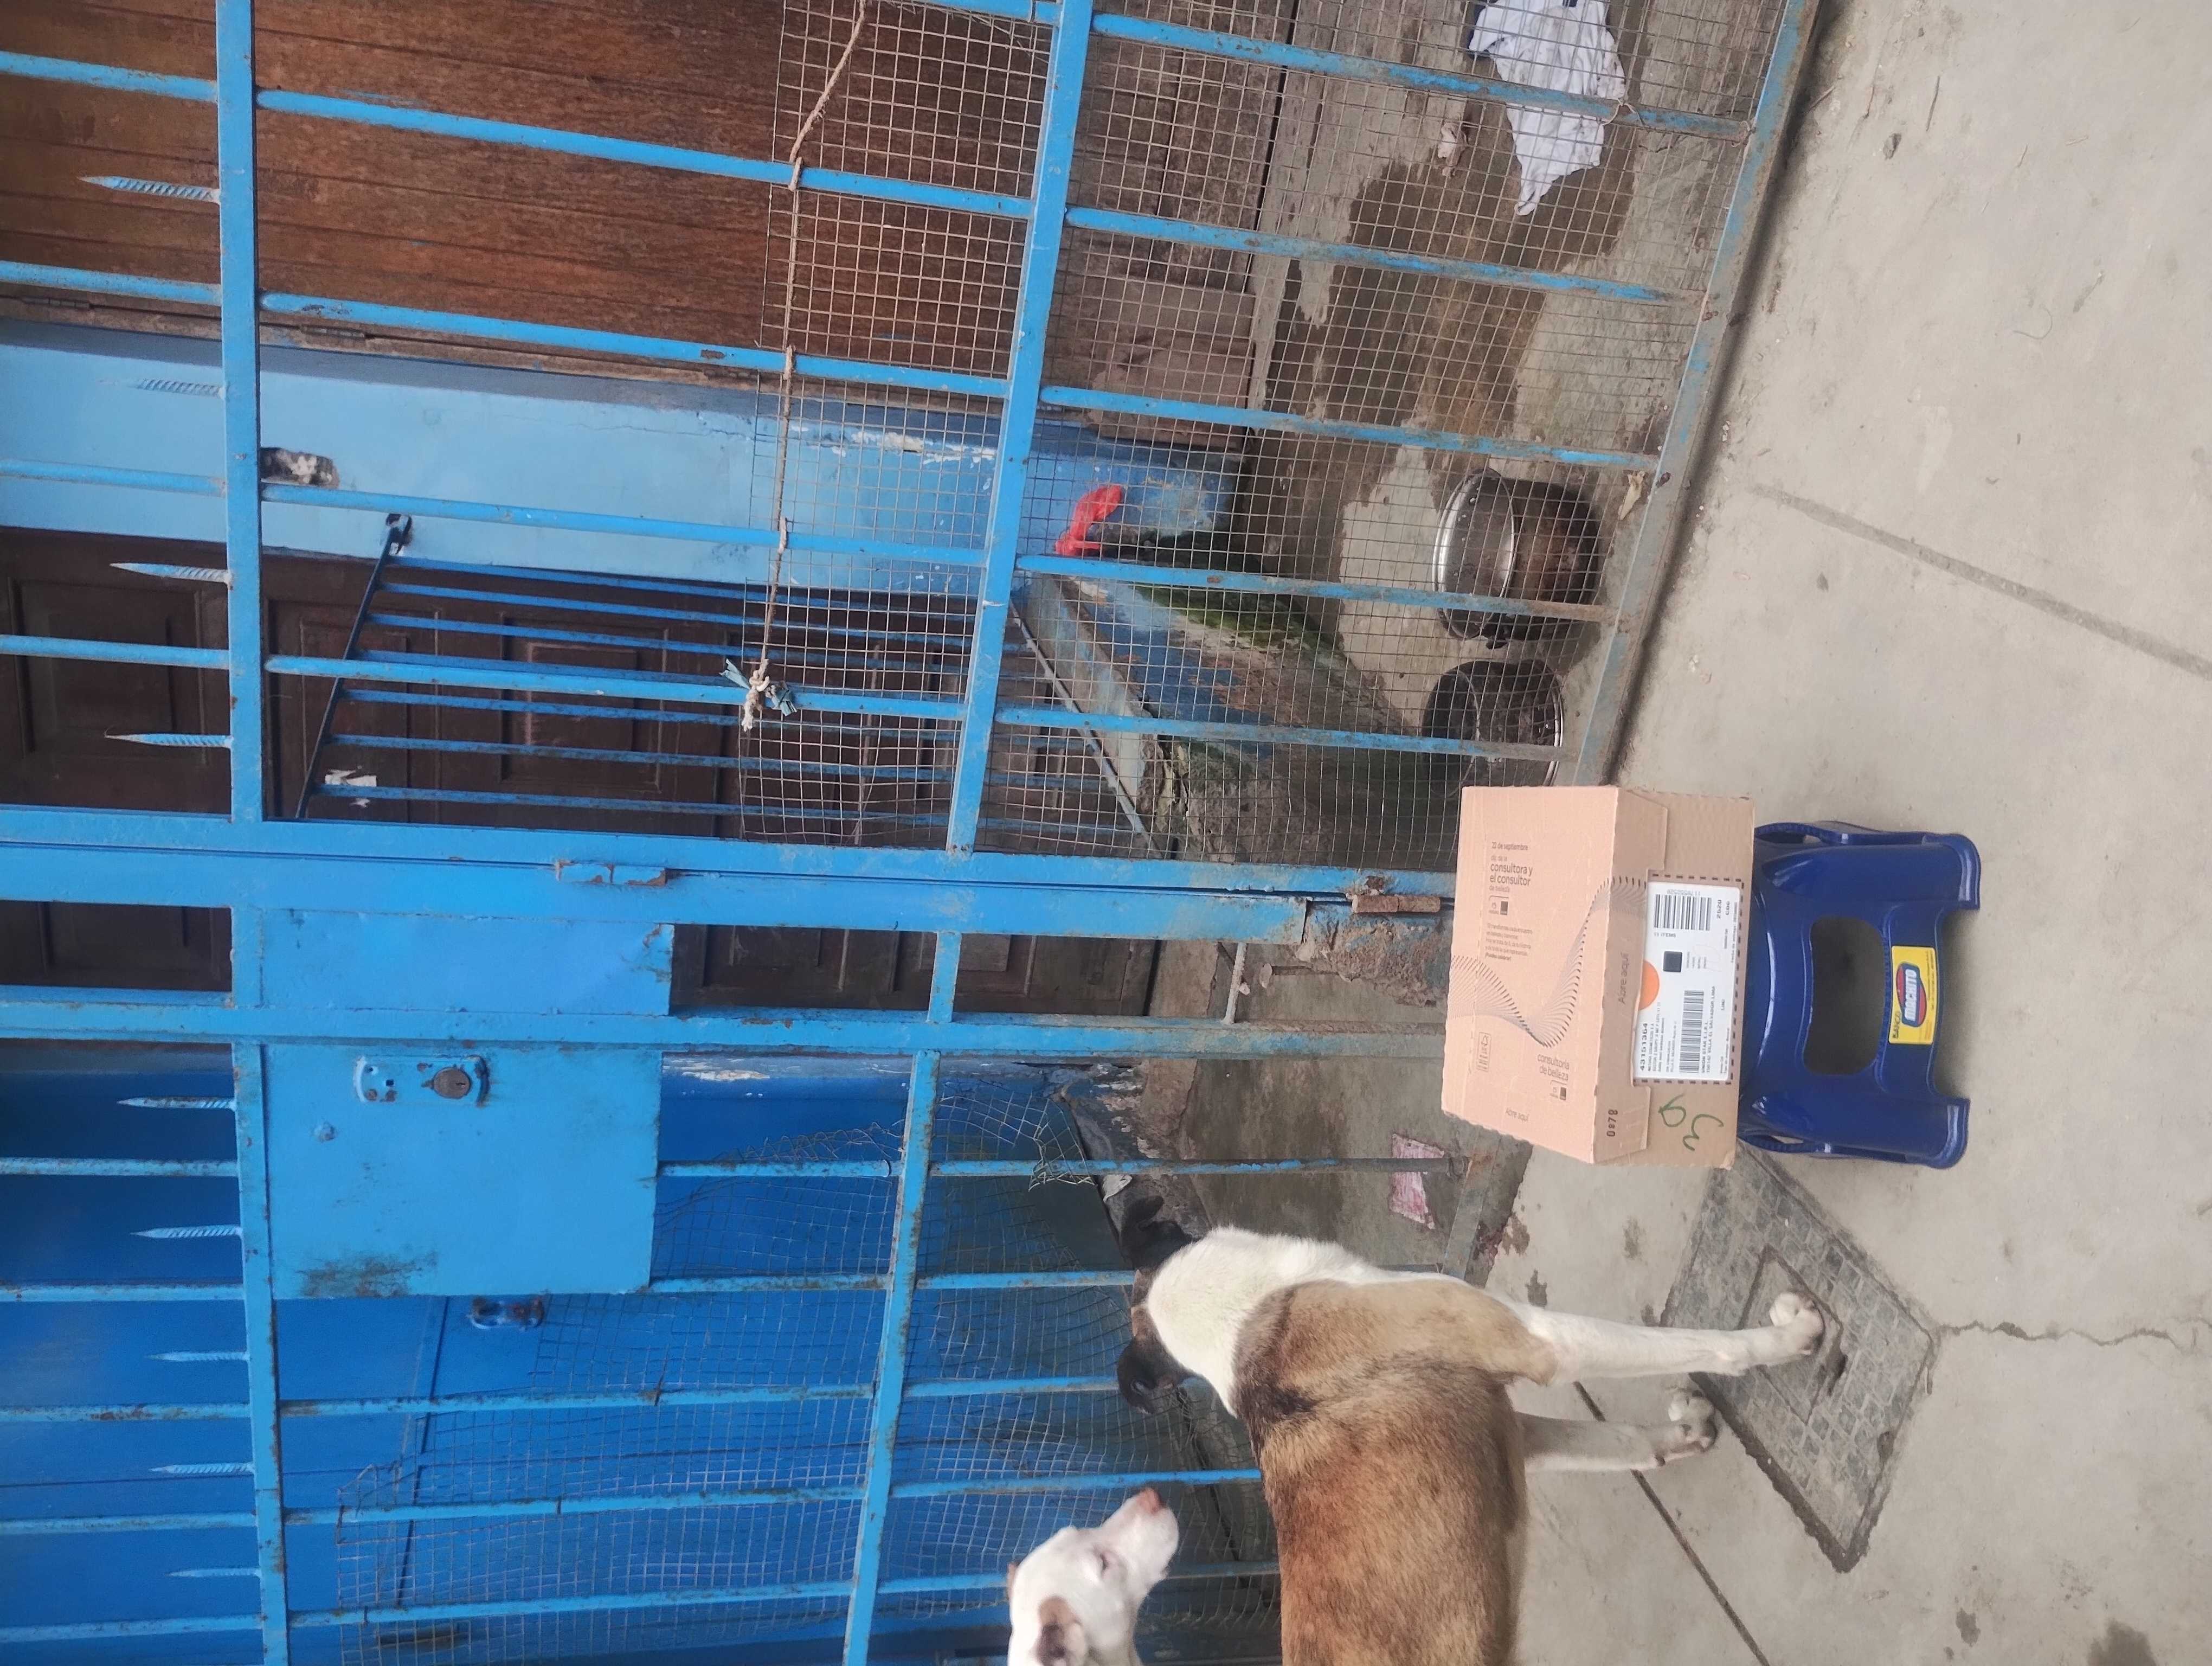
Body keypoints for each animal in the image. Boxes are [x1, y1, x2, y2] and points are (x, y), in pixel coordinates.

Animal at [1113, 1212, 1823, 1666]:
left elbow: (1620, 1441)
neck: (1248, 1314)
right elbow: (1706, 1345)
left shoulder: (1515, 1431)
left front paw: (1681, 1436)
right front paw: (1791, 1337)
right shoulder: (1542, 1342)